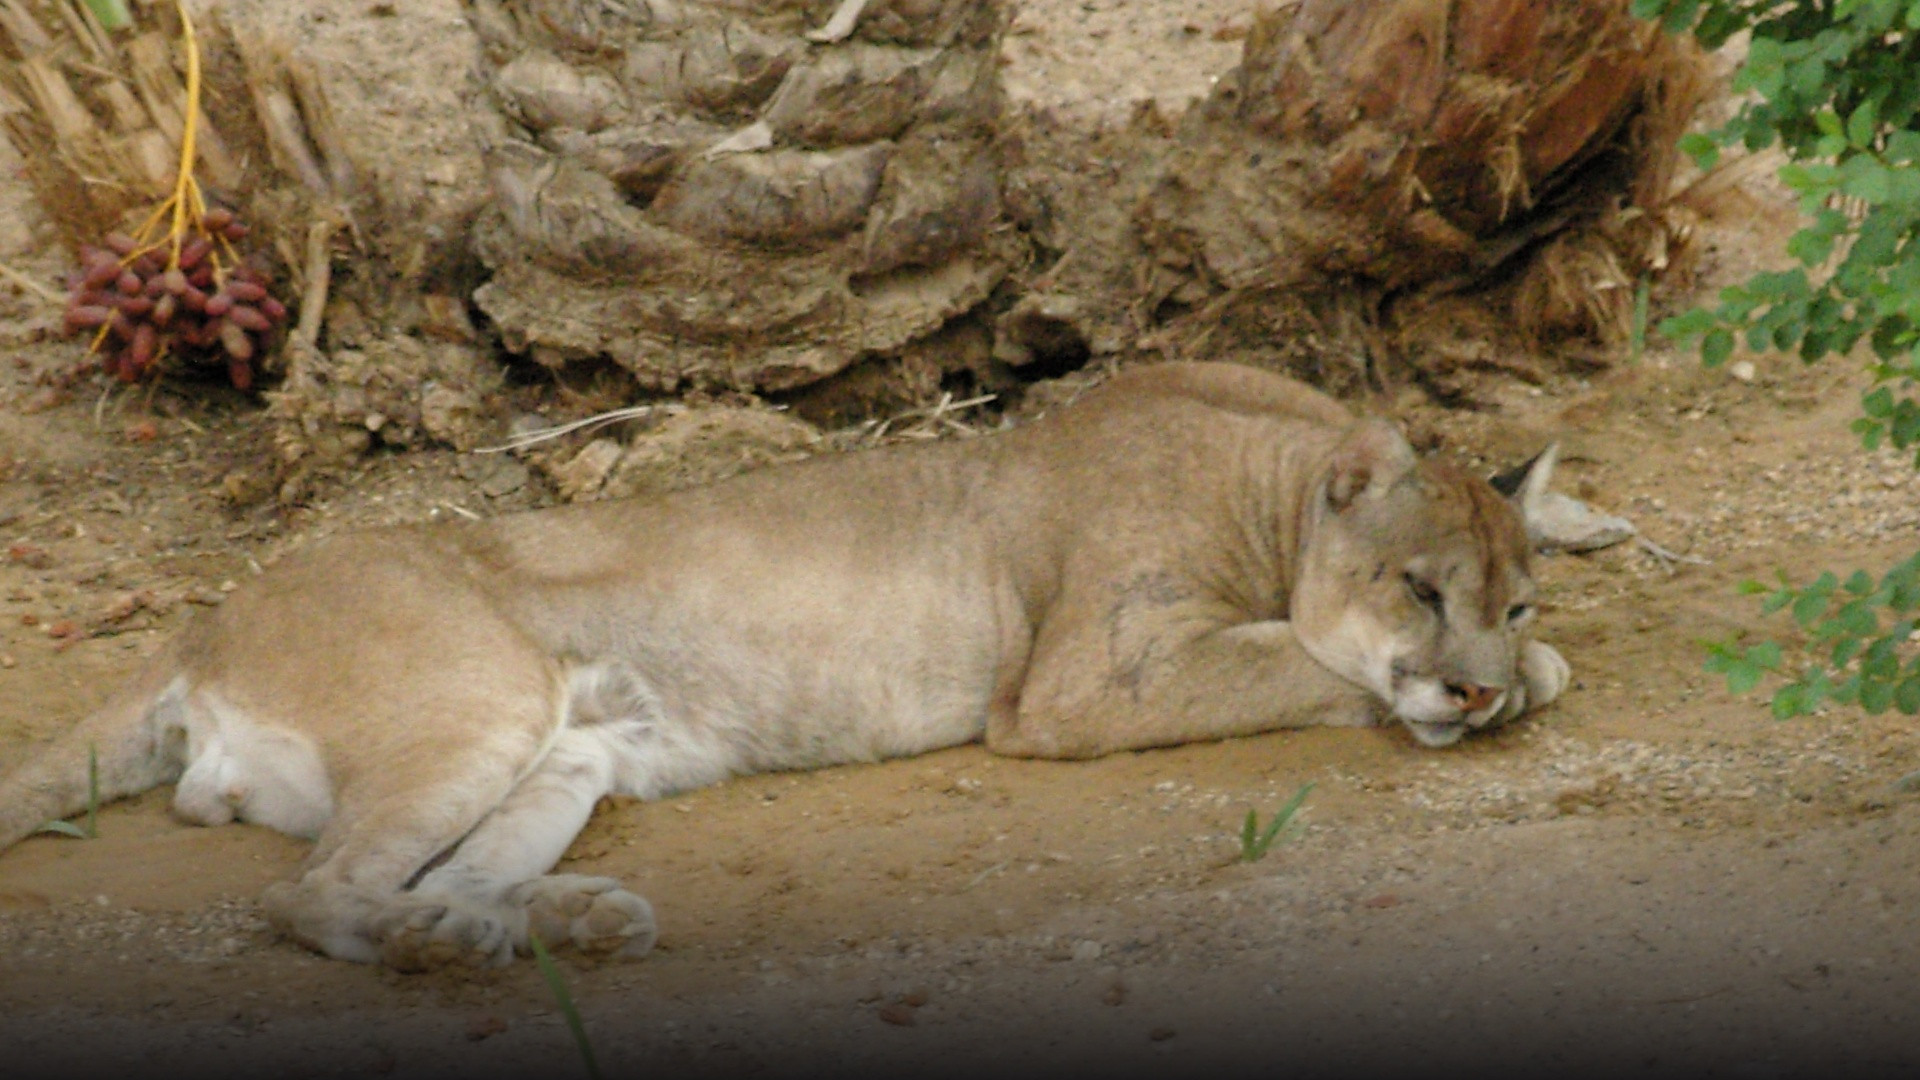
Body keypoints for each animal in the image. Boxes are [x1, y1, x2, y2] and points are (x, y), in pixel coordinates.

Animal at [0, 362, 1567, 970]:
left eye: (1513, 594)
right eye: (1421, 587)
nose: (1477, 684)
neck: (1272, 481)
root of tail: (208, 616)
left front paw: (1527, 676)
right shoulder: (1084, 685)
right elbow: (1312, 665)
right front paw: (1491, 690)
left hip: (563, 754)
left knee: (426, 870)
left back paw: (563, 920)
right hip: (475, 704)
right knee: (305, 894)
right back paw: (457, 945)